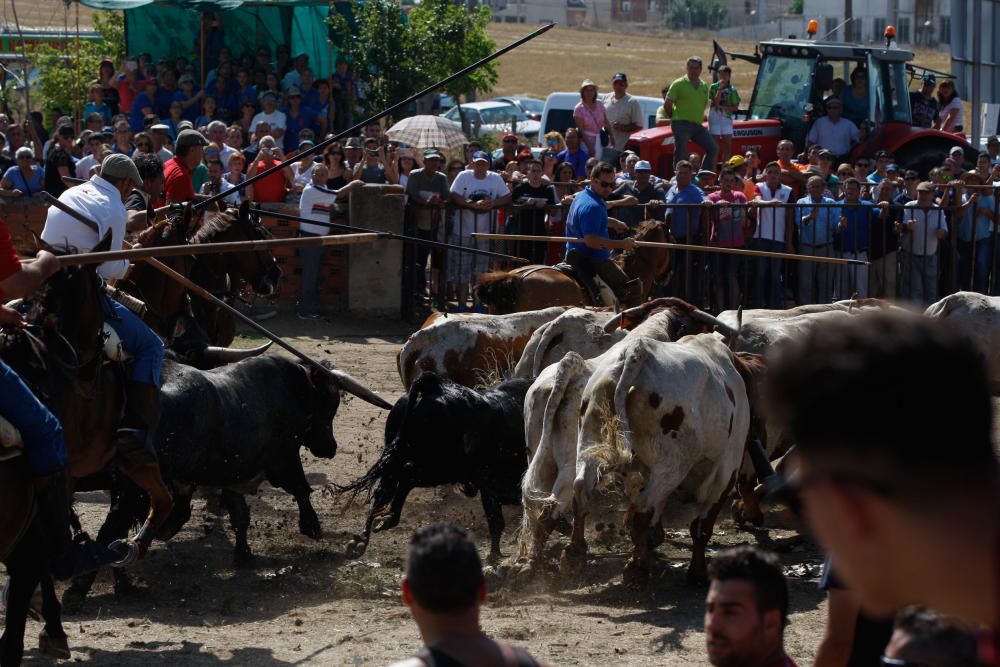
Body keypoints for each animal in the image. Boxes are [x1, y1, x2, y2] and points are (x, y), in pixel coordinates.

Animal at [342, 374, 532, 560]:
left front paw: (495, 554)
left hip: (400, 459)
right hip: (445, 468)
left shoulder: (488, 485)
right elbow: (498, 520)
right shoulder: (489, 482)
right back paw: (389, 519)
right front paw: (496, 555)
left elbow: (495, 520)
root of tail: (435, 386)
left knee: (383, 491)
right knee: (406, 477)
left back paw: (362, 539)